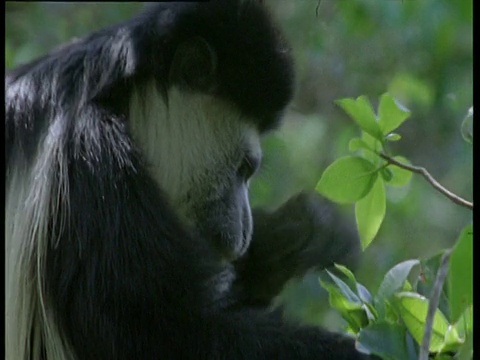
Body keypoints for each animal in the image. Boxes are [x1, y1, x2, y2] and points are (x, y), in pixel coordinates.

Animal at [6, 1, 368, 358]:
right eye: (245, 169)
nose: (245, 229)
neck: (115, 98)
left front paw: (298, 234)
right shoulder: (90, 160)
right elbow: (167, 334)